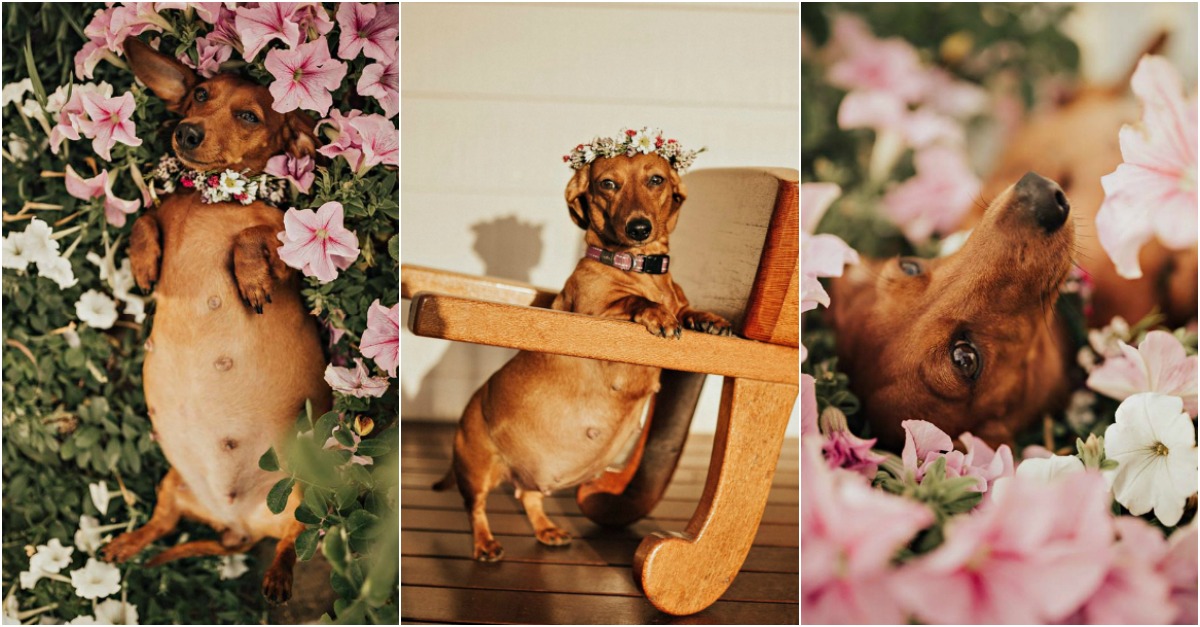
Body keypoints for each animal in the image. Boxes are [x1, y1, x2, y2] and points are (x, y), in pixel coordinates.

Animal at [98, 35, 331, 600]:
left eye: (249, 115)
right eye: (201, 94)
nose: (187, 130)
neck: (211, 200)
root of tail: (239, 523)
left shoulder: (292, 255)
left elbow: (250, 238)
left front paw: (249, 281)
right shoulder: (159, 214)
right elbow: (143, 220)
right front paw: (145, 261)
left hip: (302, 498)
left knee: (291, 540)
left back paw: (277, 578)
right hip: (171, 483)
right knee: (161, 524)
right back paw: (127, 546)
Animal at [434, 142, 724, 562]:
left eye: (656, 179)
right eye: (608, 184)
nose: (639, 229)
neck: (641, 269)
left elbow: (686, 310)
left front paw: (706, 318)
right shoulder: (592, 313)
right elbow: (633, 301)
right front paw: (655, 312)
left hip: (527, 476)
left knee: (528, 497)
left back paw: (547, 529)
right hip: (478, 469)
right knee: (475, 508)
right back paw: (485, 544)